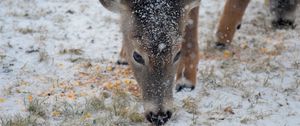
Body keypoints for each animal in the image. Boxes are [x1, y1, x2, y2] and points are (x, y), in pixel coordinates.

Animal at [98, 0, 298, 125]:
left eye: (177, 54)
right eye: (137, 56)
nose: (160, 115)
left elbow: (190, 24)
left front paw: (187, 79)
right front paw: (123, 52)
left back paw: (225, 35)